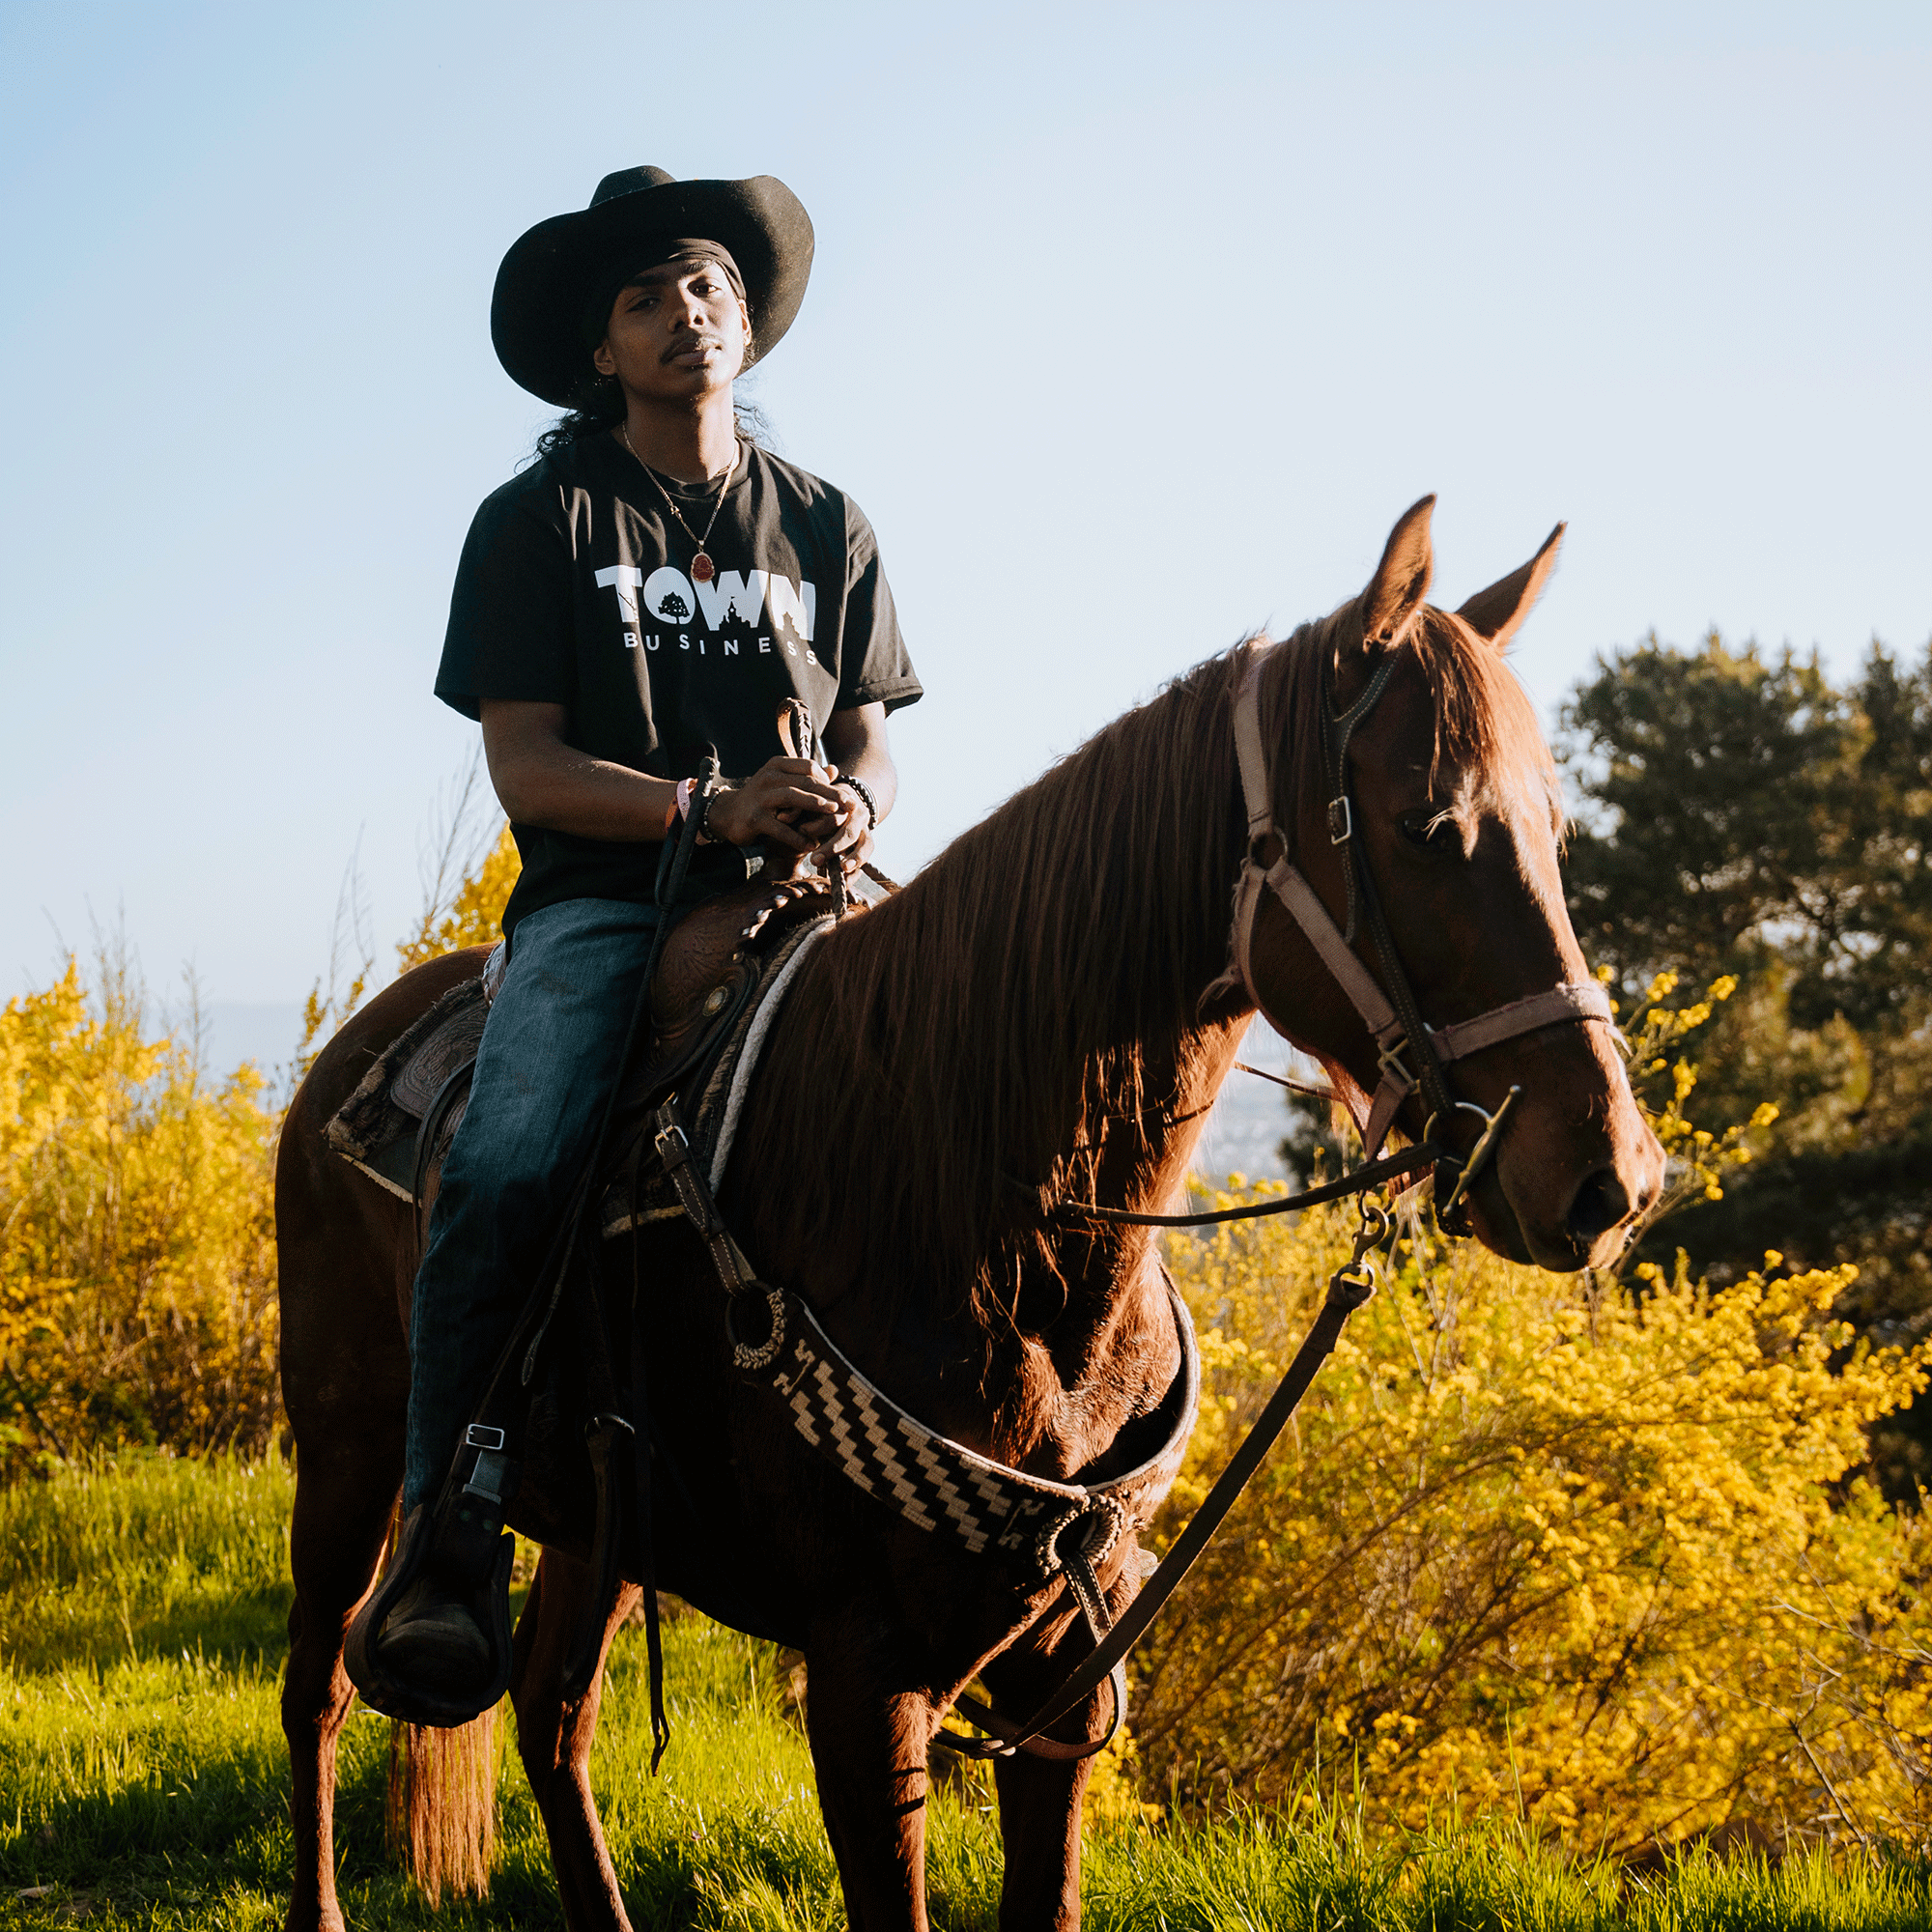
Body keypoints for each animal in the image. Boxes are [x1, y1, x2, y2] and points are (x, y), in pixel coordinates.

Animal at [272, 502, 1662, 1932]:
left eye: (1556, 828)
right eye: (1427, 824)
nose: (1607, 1175)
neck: (995, 1226)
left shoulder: (1058, 1686)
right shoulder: (863, 1688)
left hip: (599, 1524)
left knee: (554, 1719)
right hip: (347, 1440)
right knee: (320, 1686)